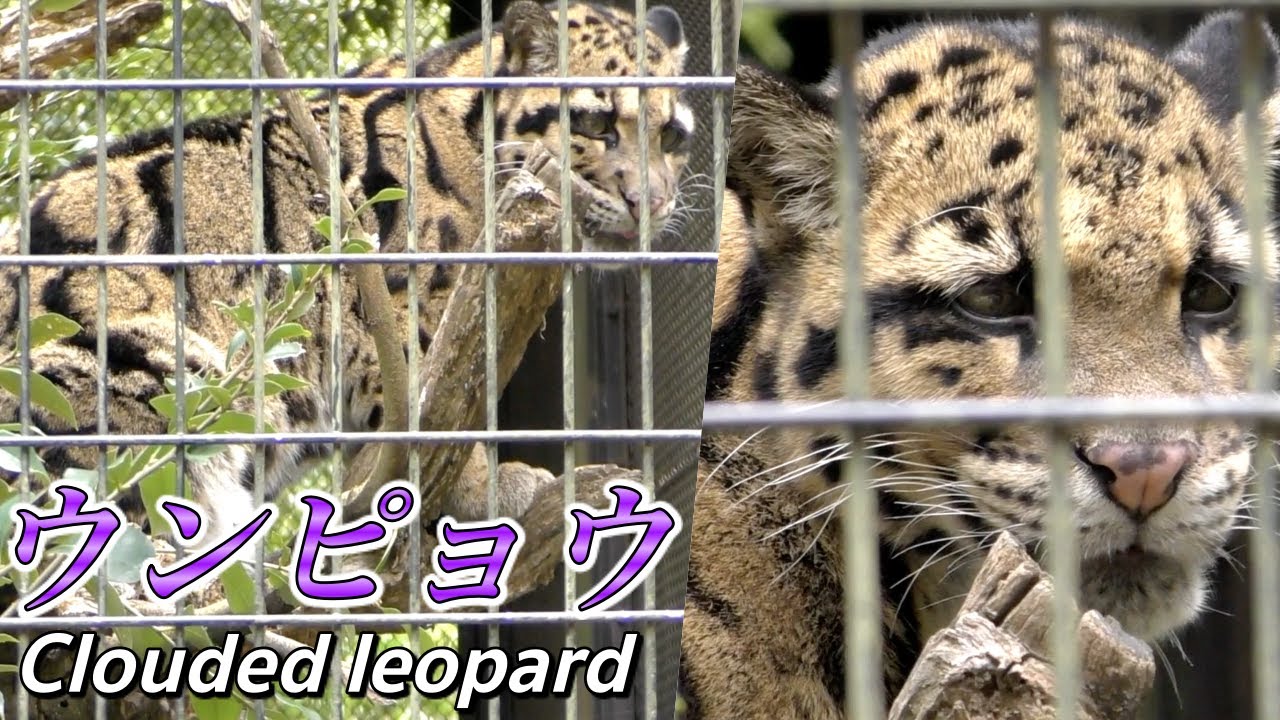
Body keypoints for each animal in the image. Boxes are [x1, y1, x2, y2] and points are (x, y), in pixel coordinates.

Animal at [0, 1, 695, 548]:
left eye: (672, 136)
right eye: (597, 124)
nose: (653, 202)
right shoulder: (405, 315)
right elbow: (432, 412)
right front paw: (488, 487)